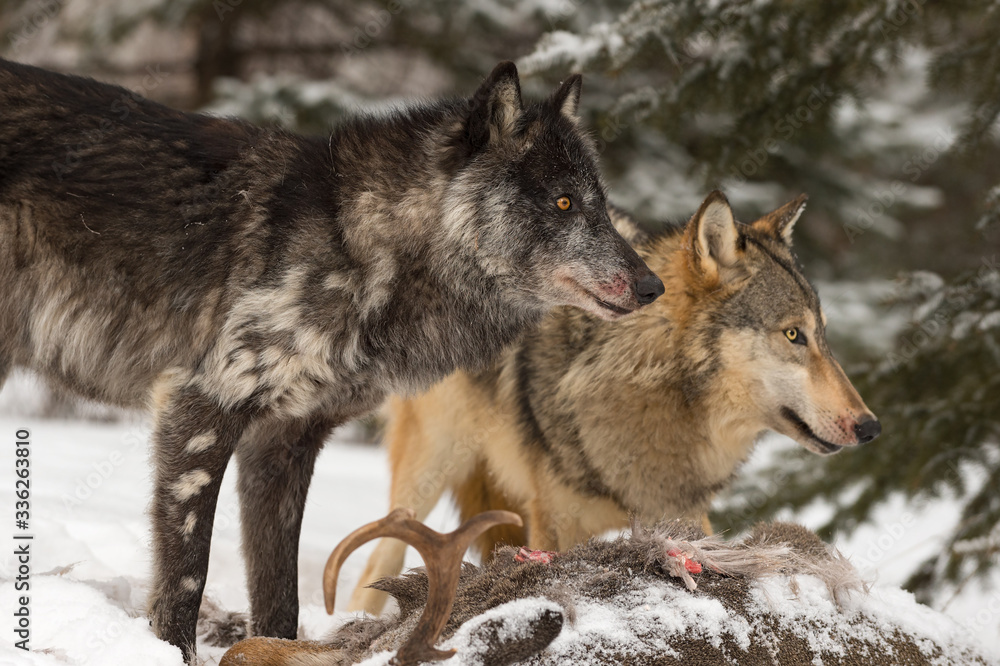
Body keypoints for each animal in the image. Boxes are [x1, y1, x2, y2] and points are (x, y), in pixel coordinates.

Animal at [0, 58, 662, 659]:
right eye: (563, 202)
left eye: (601, 205)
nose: (652, 286)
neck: (360, 246)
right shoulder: (201, 410)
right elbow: (186, 578)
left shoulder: (284, 441)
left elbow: (279, 597)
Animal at [350, 190, 882, 615]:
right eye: (793, 335)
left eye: (823, 335)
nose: (871, 428)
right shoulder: (553, 528)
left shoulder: (684, 517)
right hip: (429, 473)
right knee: (374, 568)